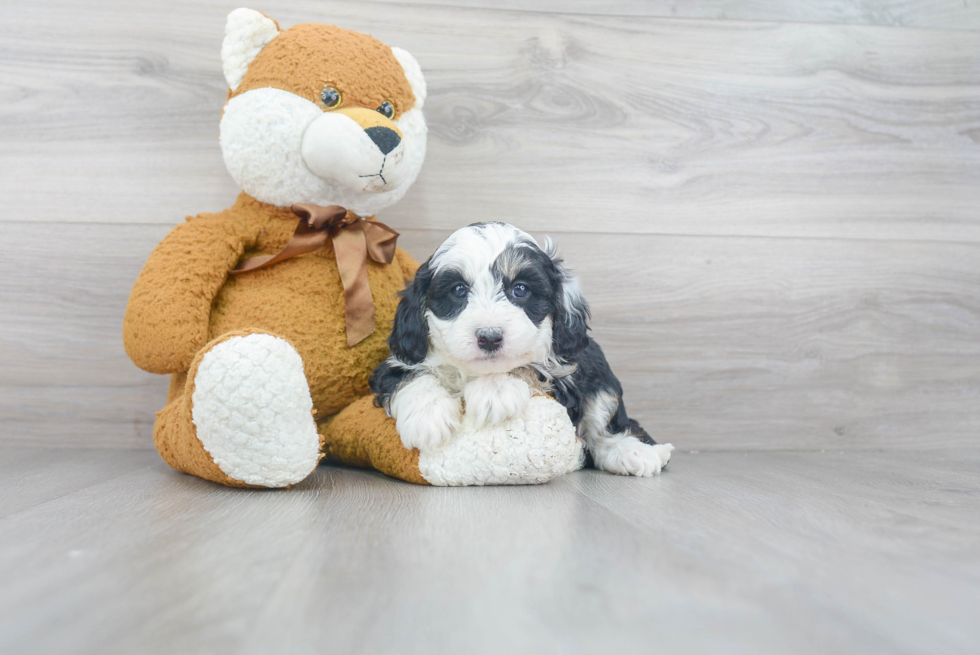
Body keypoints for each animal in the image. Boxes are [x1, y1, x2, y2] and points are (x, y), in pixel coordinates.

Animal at [370, 224, 672, 476]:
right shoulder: (396, 362)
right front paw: (427, 418)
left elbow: (529, 367)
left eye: (520, 289)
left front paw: (495, 392)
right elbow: (412, 377)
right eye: (458, 290)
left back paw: (633, 452)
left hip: (600, 375)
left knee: (606, 419)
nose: (489, 337)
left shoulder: (565, 374)